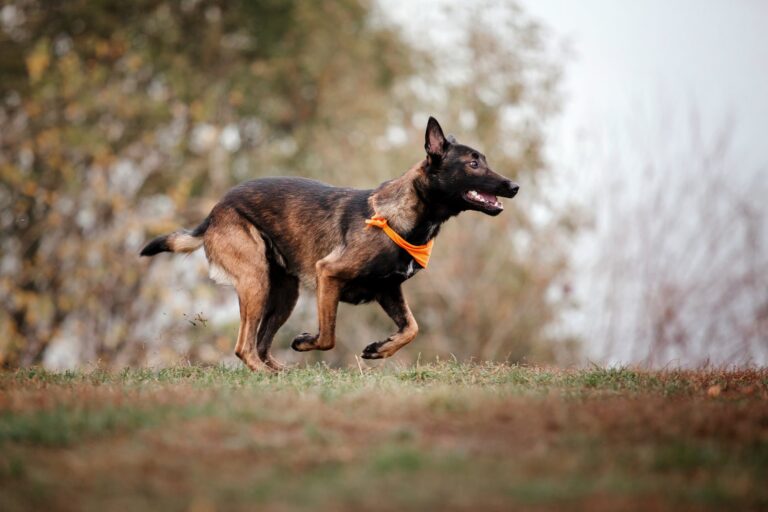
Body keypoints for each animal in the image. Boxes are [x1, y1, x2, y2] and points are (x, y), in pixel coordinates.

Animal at [141, 118, 520, 370]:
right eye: (473, 163)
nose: (514, 186)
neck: (406, 216)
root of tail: (215, 210)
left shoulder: (389, 290)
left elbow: (412, 327)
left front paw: (381, 348)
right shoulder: (329, 275)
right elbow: (328, 337)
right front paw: (307, 341)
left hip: (284, 294)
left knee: (260, 344)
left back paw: (279, 373)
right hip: (255, 281)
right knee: (244, 347)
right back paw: (266, 374)